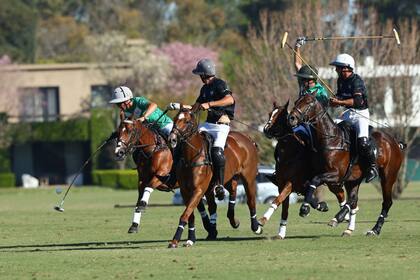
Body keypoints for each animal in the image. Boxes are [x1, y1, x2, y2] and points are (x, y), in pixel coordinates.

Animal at [167, 106, 262, 247]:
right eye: (174, 119)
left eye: (187, 122)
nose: (172, 139)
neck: (191, 157)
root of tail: (247, 137)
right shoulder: (185, 191)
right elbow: (190, 215)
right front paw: (190, 238)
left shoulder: (199, 189)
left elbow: (186, 214)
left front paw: (175, 240)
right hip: (227, 179)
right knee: (231, 192)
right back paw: (230, 222)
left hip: (248, 178)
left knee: (250, 200)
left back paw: (256, 227)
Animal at [260, 101, 354, 237]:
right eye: (270, 114)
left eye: (281, 116)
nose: (266, 129)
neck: (289, 152)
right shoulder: (283, 185)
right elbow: (285, 208)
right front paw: (281, 233)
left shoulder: (290, 183)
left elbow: (278, 199)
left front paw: (262, 221)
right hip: (332, 182)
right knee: (340, 193)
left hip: (332, 179)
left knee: (341, 194)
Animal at [288, 94, 404, 236]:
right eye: (296, 101)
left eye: (308, 102)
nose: (291, 118)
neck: (331, 139)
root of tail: (395, 142)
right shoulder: (322, 175)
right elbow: (307, 185)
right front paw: (319, 206)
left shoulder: (335, 175)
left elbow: (314, 181)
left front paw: (305, 208)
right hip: (353, 180)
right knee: (354, 198)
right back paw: (345, 224)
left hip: (388, 177)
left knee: (386, 202)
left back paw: (374, 229)